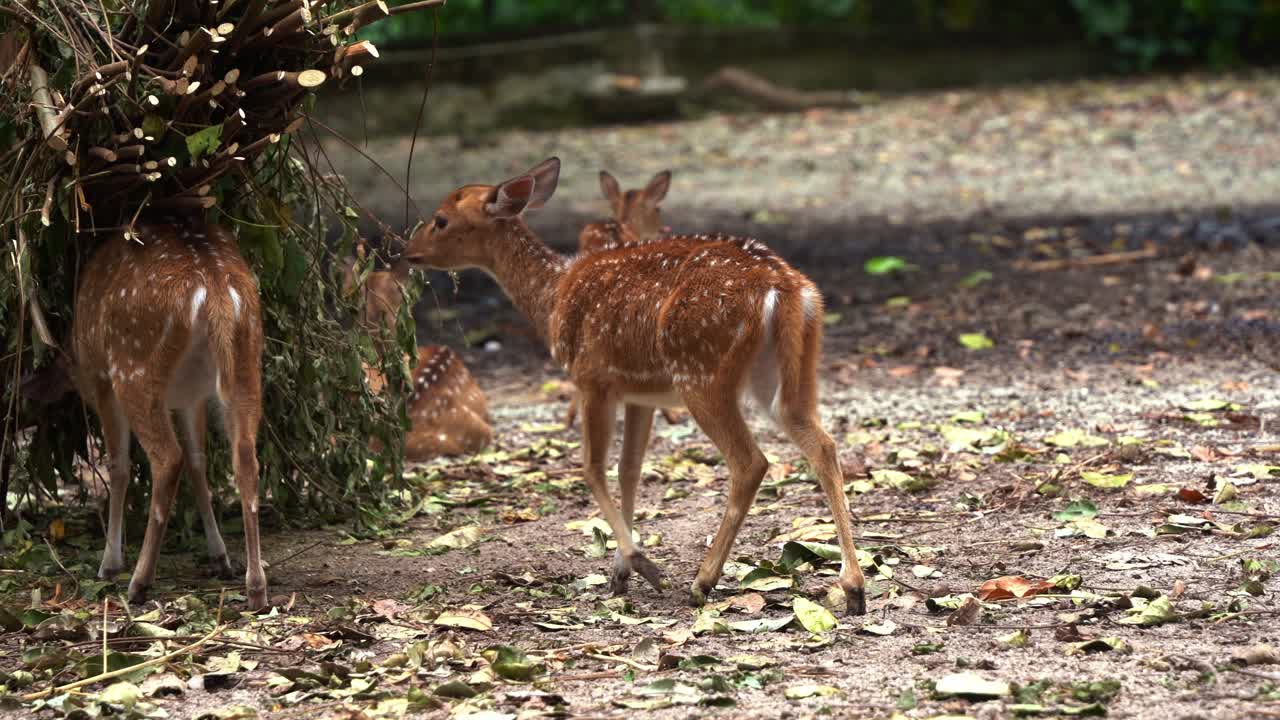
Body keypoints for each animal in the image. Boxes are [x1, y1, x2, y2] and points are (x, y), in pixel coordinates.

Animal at [64, 222, 267, 609]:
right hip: (246, 362)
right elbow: (198, 461)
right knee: (244, 456)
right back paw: (255, 588)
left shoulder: (101, 381)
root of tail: (215, 289)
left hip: (132, 368)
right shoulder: (192, 396)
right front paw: (220, 557)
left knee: (167, 459)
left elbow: (119, 466)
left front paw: (109, 563)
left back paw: (138, 582)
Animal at [404, 158, 867, 615]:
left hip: (702, 372)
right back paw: (853, 587)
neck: (553, 296)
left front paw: (641, 564)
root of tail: (785, 288)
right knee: (823, 444)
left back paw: (703, 580)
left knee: (750, 461)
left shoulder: (592, 378)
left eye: (440, 219)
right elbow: (630, 470)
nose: (405, 251)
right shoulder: (640, 394)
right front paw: (619, 572)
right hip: (788, 371)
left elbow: (592, 467)